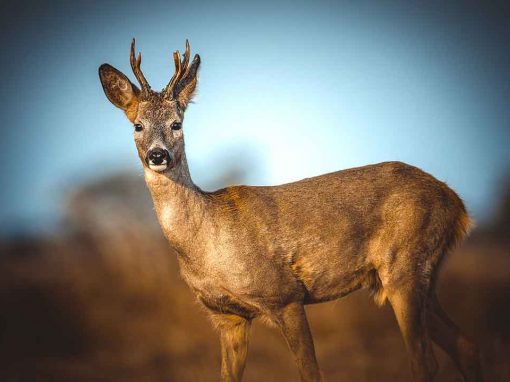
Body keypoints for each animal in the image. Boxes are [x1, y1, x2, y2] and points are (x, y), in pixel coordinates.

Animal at [98, 39, 482, 382]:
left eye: (177, 124)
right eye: (137, 125)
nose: (158, 155)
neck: (207, 239)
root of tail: (456, 202)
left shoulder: (285, 296)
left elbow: (311, 373)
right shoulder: (227, 317)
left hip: (404, 265)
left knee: (425, 360)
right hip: (422, 275)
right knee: (464, 343)